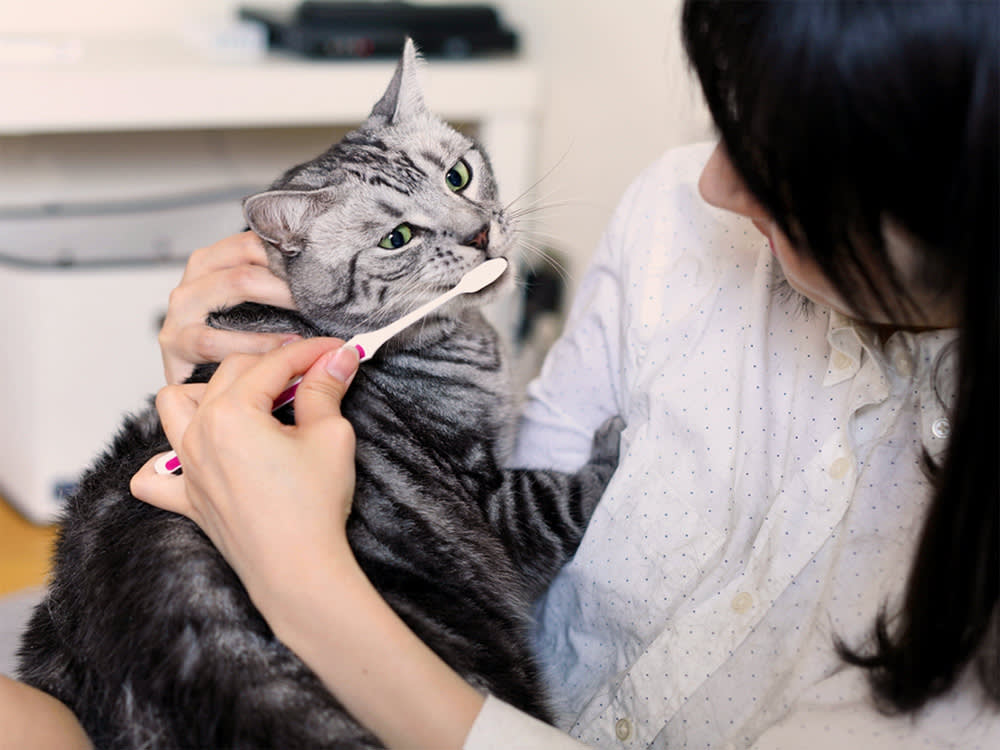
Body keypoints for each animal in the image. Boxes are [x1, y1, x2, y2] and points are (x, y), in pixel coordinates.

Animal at [19, 42, 620, 750]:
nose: (478, 235)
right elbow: (562, 495)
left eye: (459, 177)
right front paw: (618, 442)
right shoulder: (495, 502)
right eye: (396, 239)